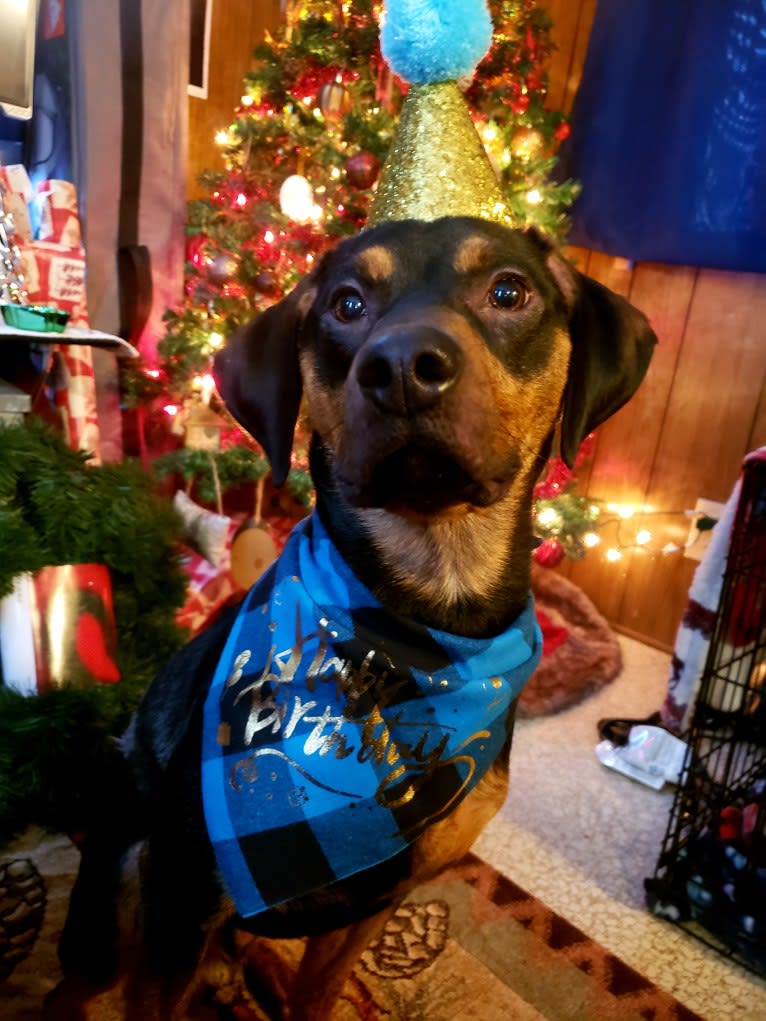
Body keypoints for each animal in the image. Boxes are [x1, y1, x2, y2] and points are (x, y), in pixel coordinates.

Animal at [51, 213, 657, 1012]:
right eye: (346, 304)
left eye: (509, 291)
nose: (401, 366)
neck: (419, 620)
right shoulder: (181, 893)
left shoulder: (378, 901)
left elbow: (320, 994)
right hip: (122, 880)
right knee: (78, 985)